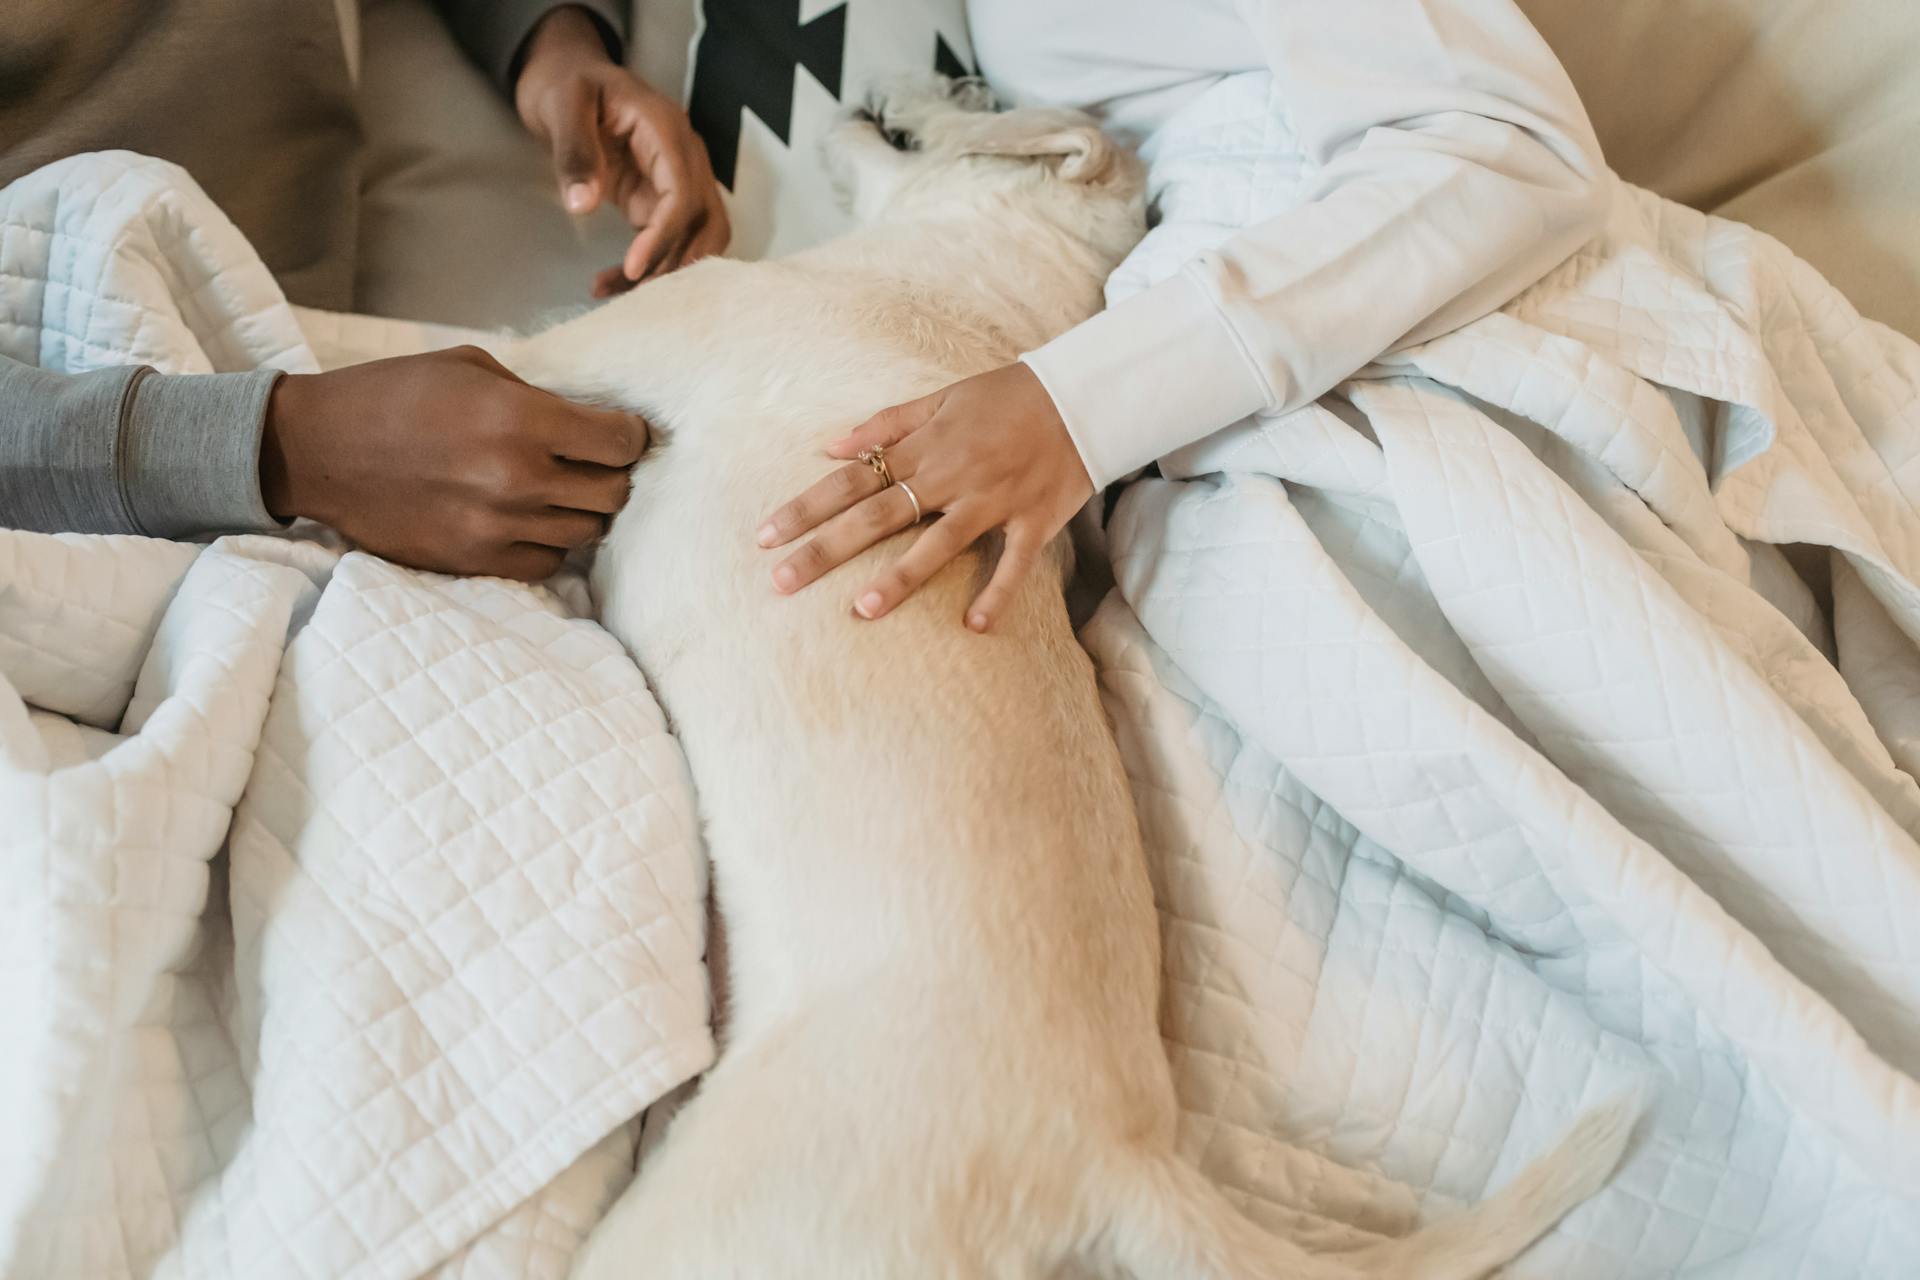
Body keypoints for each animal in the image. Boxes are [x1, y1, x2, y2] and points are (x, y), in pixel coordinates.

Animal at [510, 82, 1635, 1280]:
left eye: (978, 95)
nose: (923, 79)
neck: (982, 286)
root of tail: (1121, 1162)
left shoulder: (606, 343)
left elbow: (448, 346)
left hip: (698, 1227)